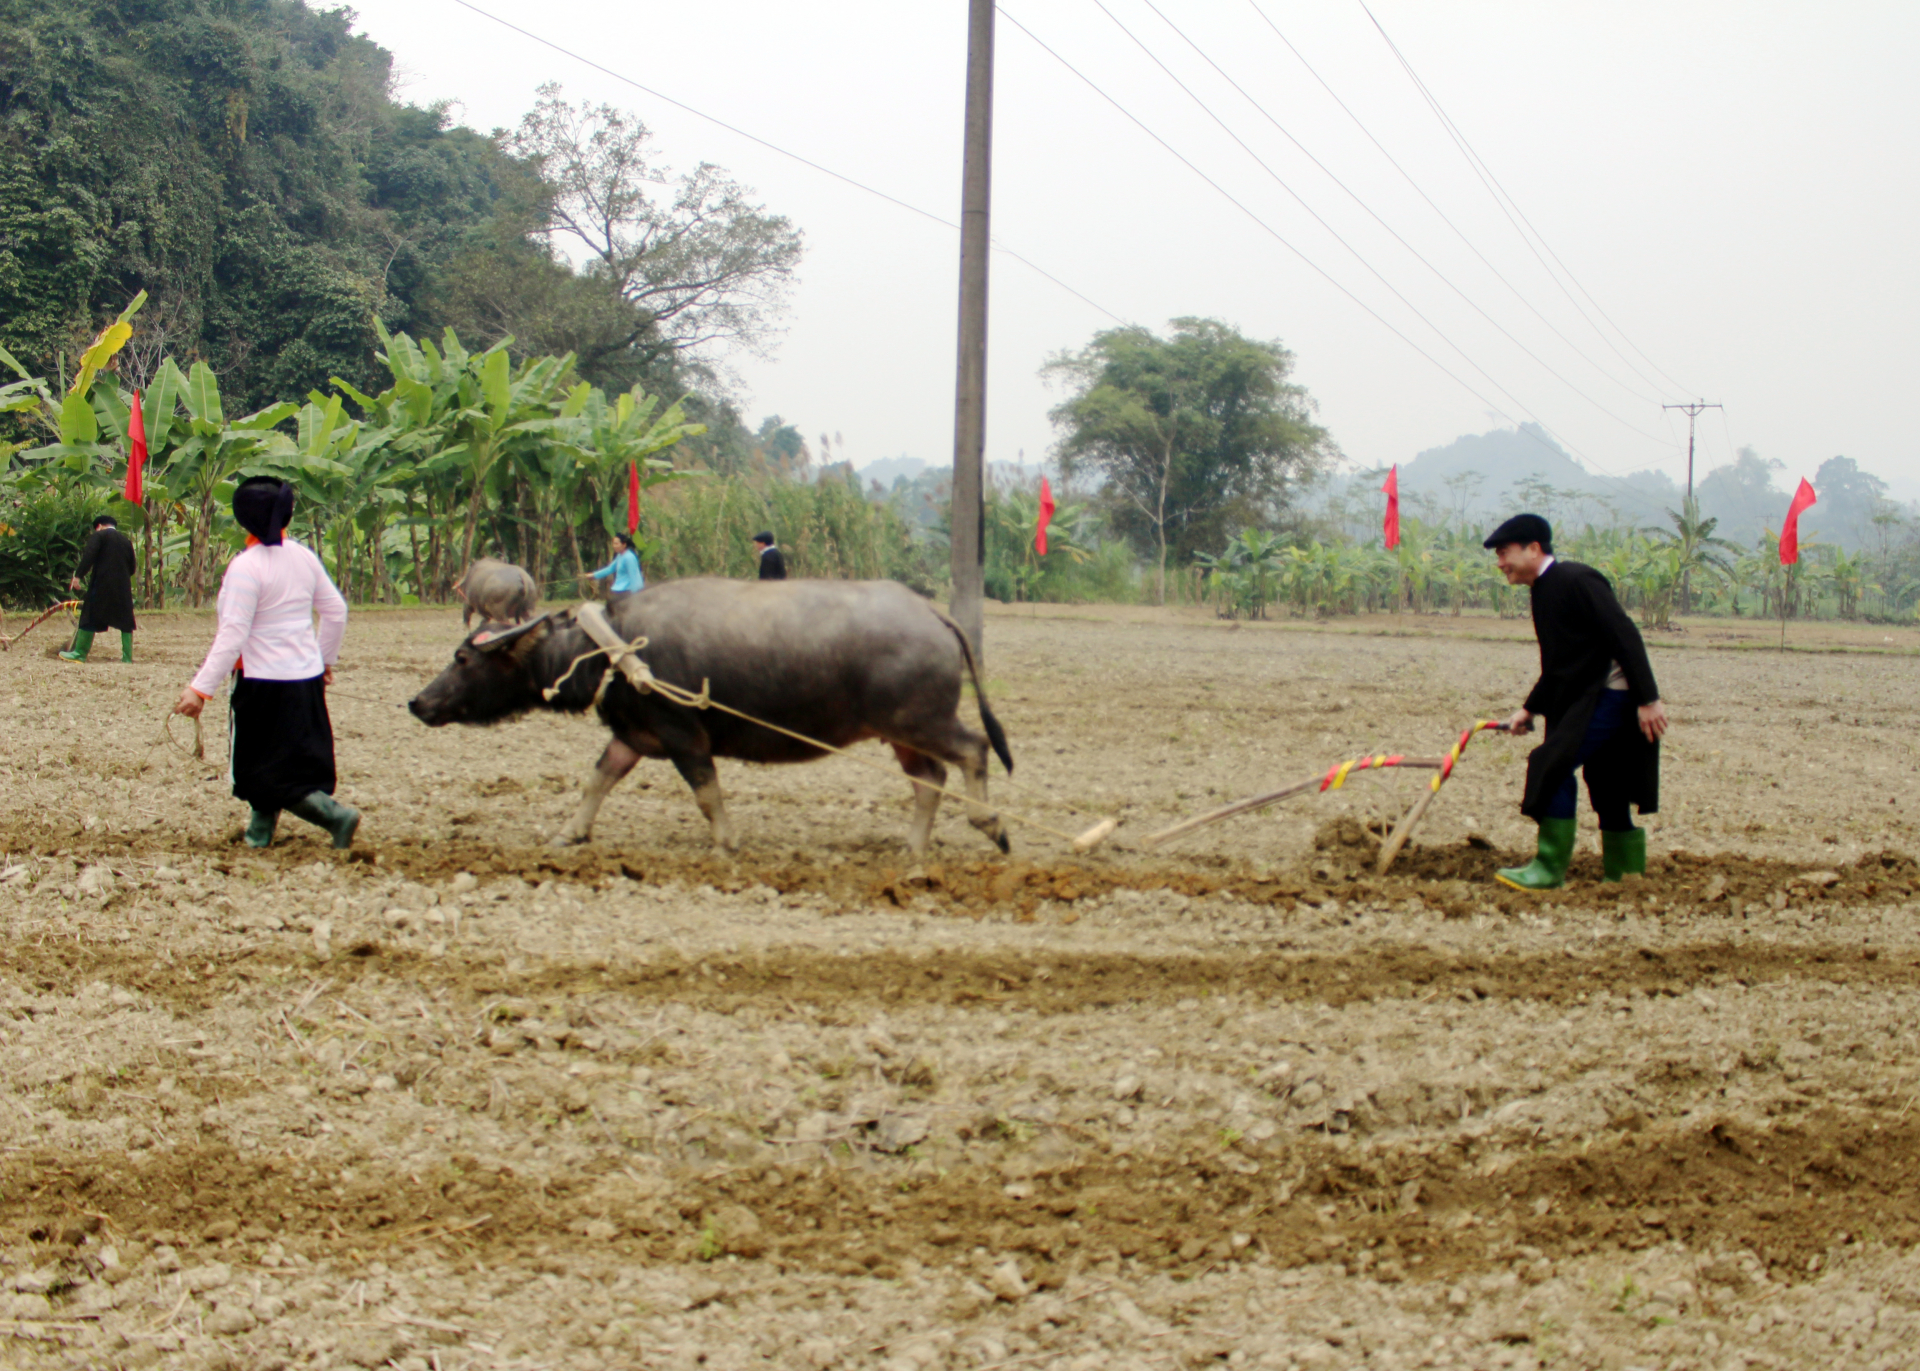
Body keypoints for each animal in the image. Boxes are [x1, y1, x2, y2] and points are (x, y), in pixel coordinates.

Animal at [410, 579, 1013, 852]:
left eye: (462, 658)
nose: (417, 701)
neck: (612, 651)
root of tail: (932, 616)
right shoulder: (632, 735)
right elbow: (597, 780)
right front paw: (570, 833)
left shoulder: (682, 732)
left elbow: (705, 792)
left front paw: (726, 842)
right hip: (899, 731)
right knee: (930, 778)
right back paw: (913, 846)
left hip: (921, 719)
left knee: (973, 750)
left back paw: (990, 824)